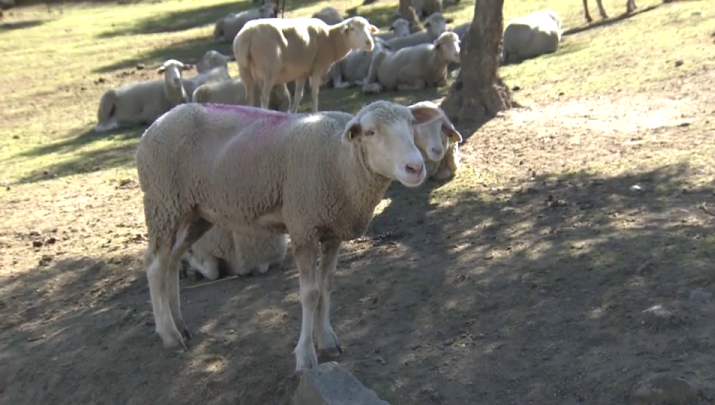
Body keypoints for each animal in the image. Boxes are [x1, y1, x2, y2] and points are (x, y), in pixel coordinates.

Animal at [135, 99, 450, 370]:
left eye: (411, 124)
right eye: (371, 132)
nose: (415, 167)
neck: (340, 161)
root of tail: (157, 123)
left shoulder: (332, 231)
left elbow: (327, 286)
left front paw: (328, 341)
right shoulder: (303, 227)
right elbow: (310, 294)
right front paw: (305, 356)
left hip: (195, 211)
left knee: (172, 259)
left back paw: (180, 324)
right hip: (163, 201)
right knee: (154, 264)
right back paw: (170, 336)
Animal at [235, 16, 380, 113]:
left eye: (369, 29)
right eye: (353, 29)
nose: (369, 43)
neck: (331, 39)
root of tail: (246, 36)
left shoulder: (301, 73)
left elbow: (298, 96)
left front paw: (293, 113)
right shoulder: (318, 68)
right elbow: (315, 93)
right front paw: (315, 113)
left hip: (244, 70)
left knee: (249, 97)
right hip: (269, 68)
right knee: (264, 98)